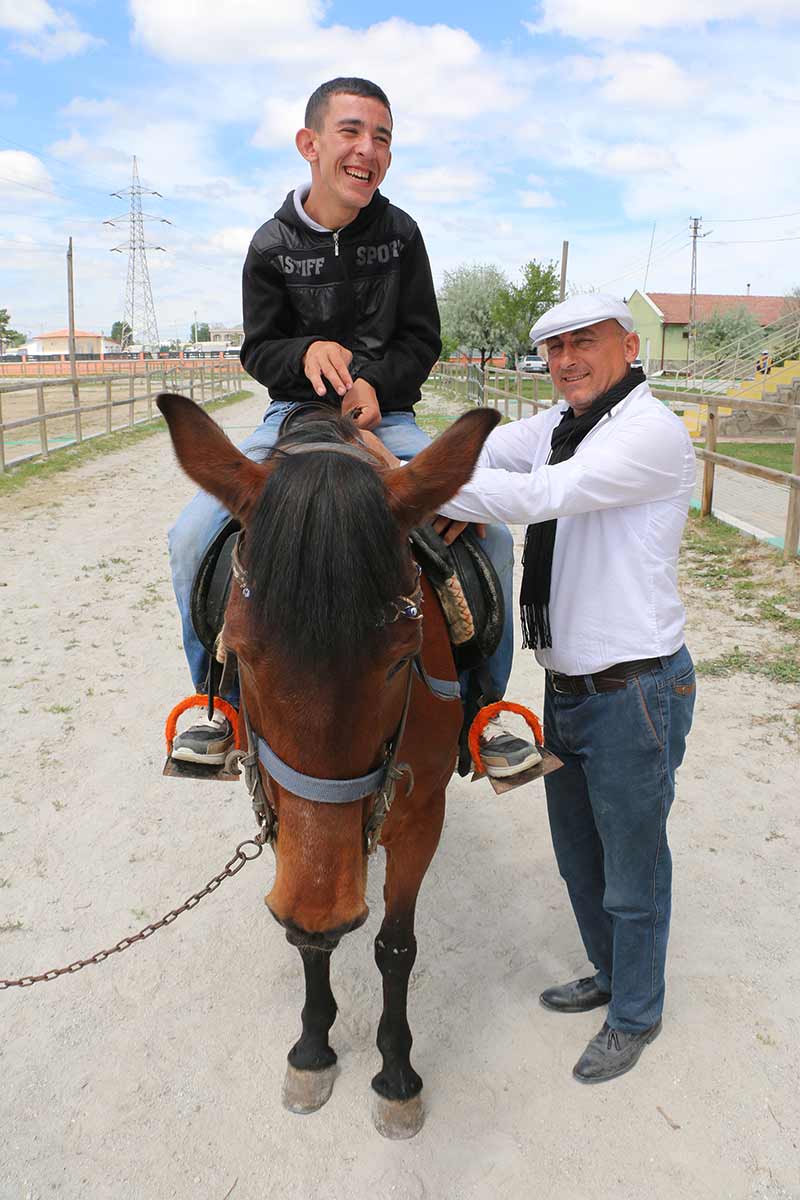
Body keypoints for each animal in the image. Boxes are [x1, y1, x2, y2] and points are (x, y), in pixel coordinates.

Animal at [158, 391, 501, 1132]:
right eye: (240, 652)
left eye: (403, 659)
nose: (327, 905)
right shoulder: (282, 811)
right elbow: (310, 940)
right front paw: (313, 1049)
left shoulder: (421, 813)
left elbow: (395, 946)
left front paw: (396, 1074)